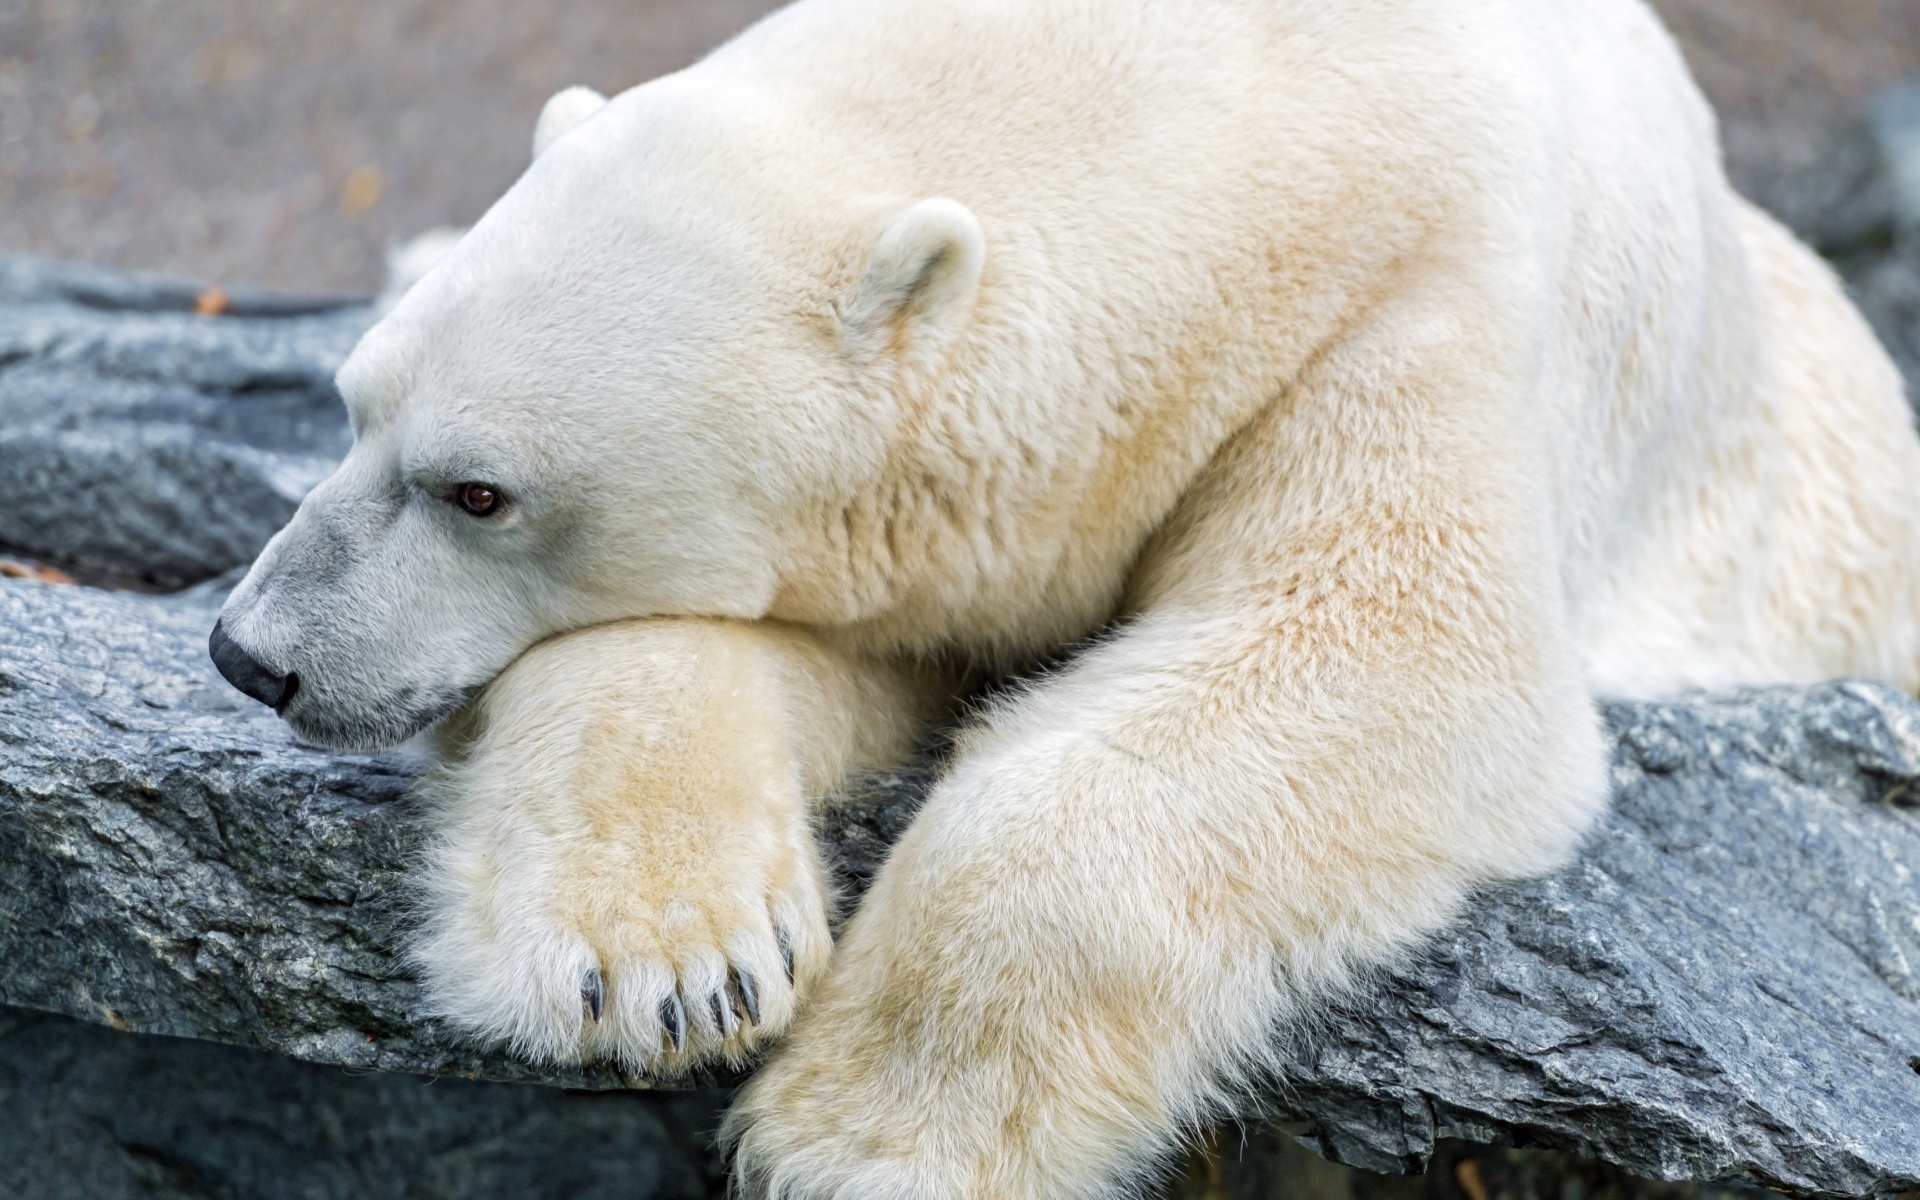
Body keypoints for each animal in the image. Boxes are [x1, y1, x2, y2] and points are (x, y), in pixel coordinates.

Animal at [206, 0, 1920, 1190]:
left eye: (479, 492)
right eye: (354, 410)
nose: (252, 654)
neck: (1251, 100)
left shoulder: (1420, 305)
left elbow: (1400, 657)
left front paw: (857, 1139)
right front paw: (669, 970)